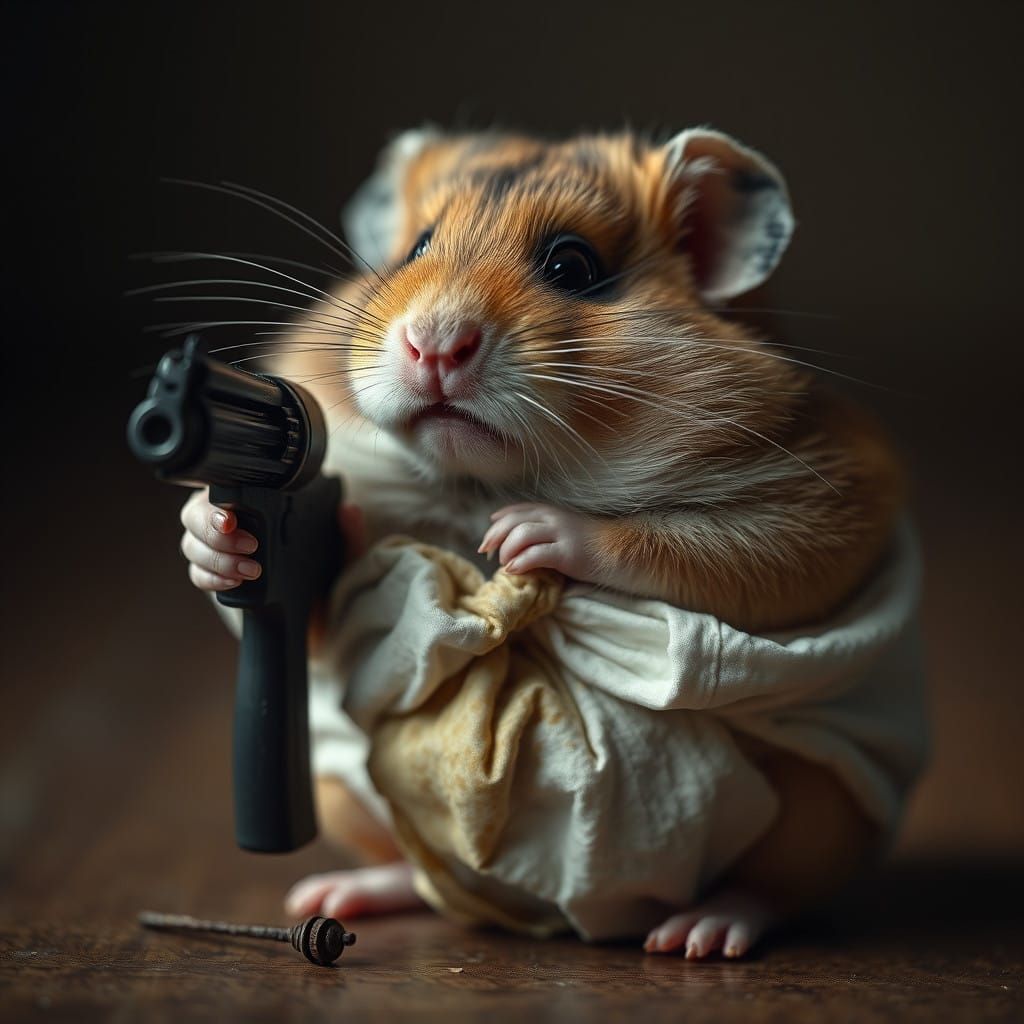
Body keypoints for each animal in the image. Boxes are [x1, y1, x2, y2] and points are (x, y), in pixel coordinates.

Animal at [185, 127, 905, 959]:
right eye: (415, 248)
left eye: (573, 266)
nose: (432, 346)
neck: (484, 484)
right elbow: (318, 613)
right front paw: (210, 531)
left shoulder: (817, 513)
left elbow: (679, 548)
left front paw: (518, 535)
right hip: (341, 790)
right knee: (414, 874)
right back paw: (334, 894)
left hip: (827, 806)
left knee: (777, 887)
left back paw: (697, 935)